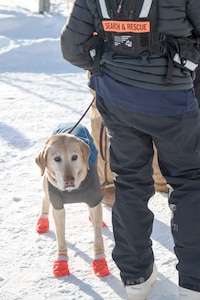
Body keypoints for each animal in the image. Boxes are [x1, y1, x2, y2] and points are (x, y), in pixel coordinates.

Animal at [35, 123, 108, 278]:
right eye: (57, 159)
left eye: (74, 157)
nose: (69, 181)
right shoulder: (57, 207)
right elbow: (61, 238)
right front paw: (61, 263)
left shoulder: (94, 198)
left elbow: (98, 237)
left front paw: (100, 261)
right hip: (46, 182)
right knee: (45, 199)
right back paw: (42, 221)